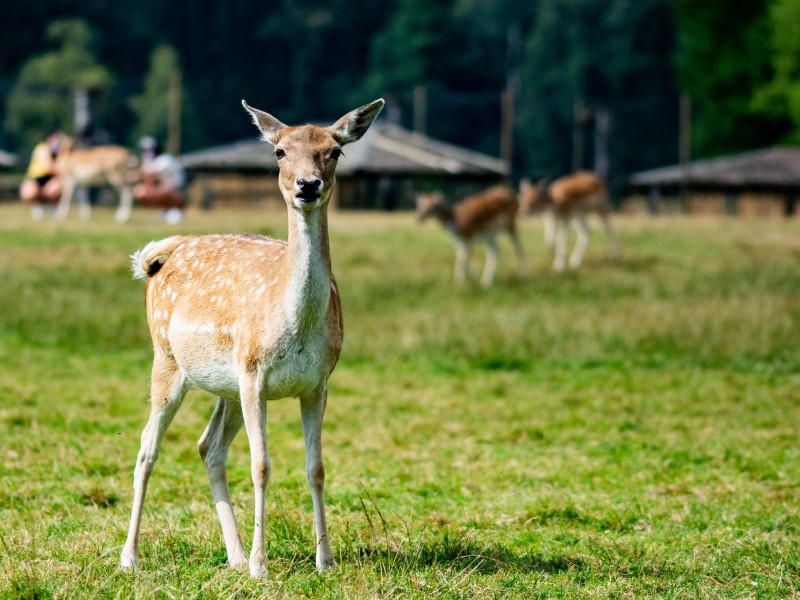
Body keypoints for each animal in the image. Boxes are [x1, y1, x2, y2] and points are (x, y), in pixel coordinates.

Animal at [117, 99, 386, 580]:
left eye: (334, 150)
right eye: (279, 151)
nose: (307, 184)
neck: (295, 325)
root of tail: (158, 261)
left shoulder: (318, 383)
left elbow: (316, 467)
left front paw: (325, 560)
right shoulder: (254, 372)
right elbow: (261, 465)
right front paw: (262, 566)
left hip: (226, 385)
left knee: (209, 447)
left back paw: (235, 555)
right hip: (167, 359)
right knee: (148, 446)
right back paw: (130, 558)